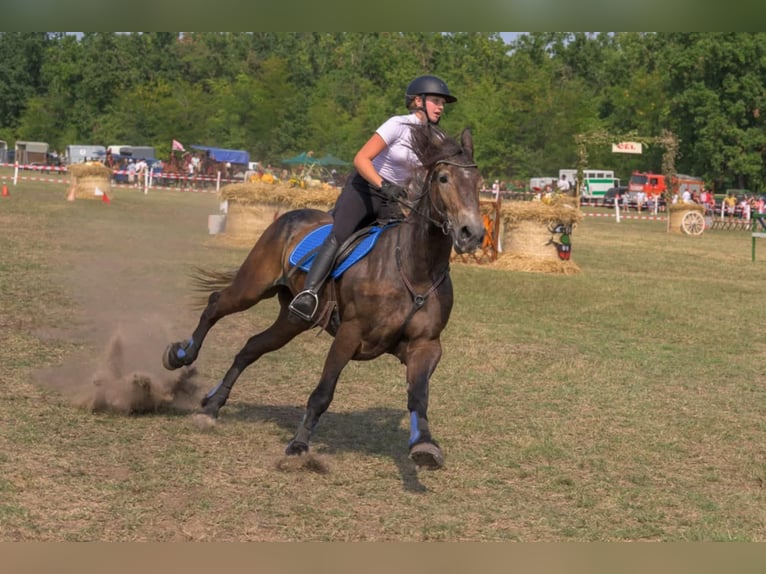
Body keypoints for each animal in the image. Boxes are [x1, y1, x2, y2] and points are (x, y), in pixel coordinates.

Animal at [162, 124, 484, 470]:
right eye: (444, 178)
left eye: (478, 182)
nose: (472, 233)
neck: (415, 269)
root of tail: (288, 216)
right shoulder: (349, 333)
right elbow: (323, 392)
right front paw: (299, 444)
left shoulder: (426, 345)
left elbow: (419, 396)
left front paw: (424, 445)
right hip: (252, 287)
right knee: (215, 305)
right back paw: (180, 356)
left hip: (292, 320)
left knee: (250, 348)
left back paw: (213, 404)